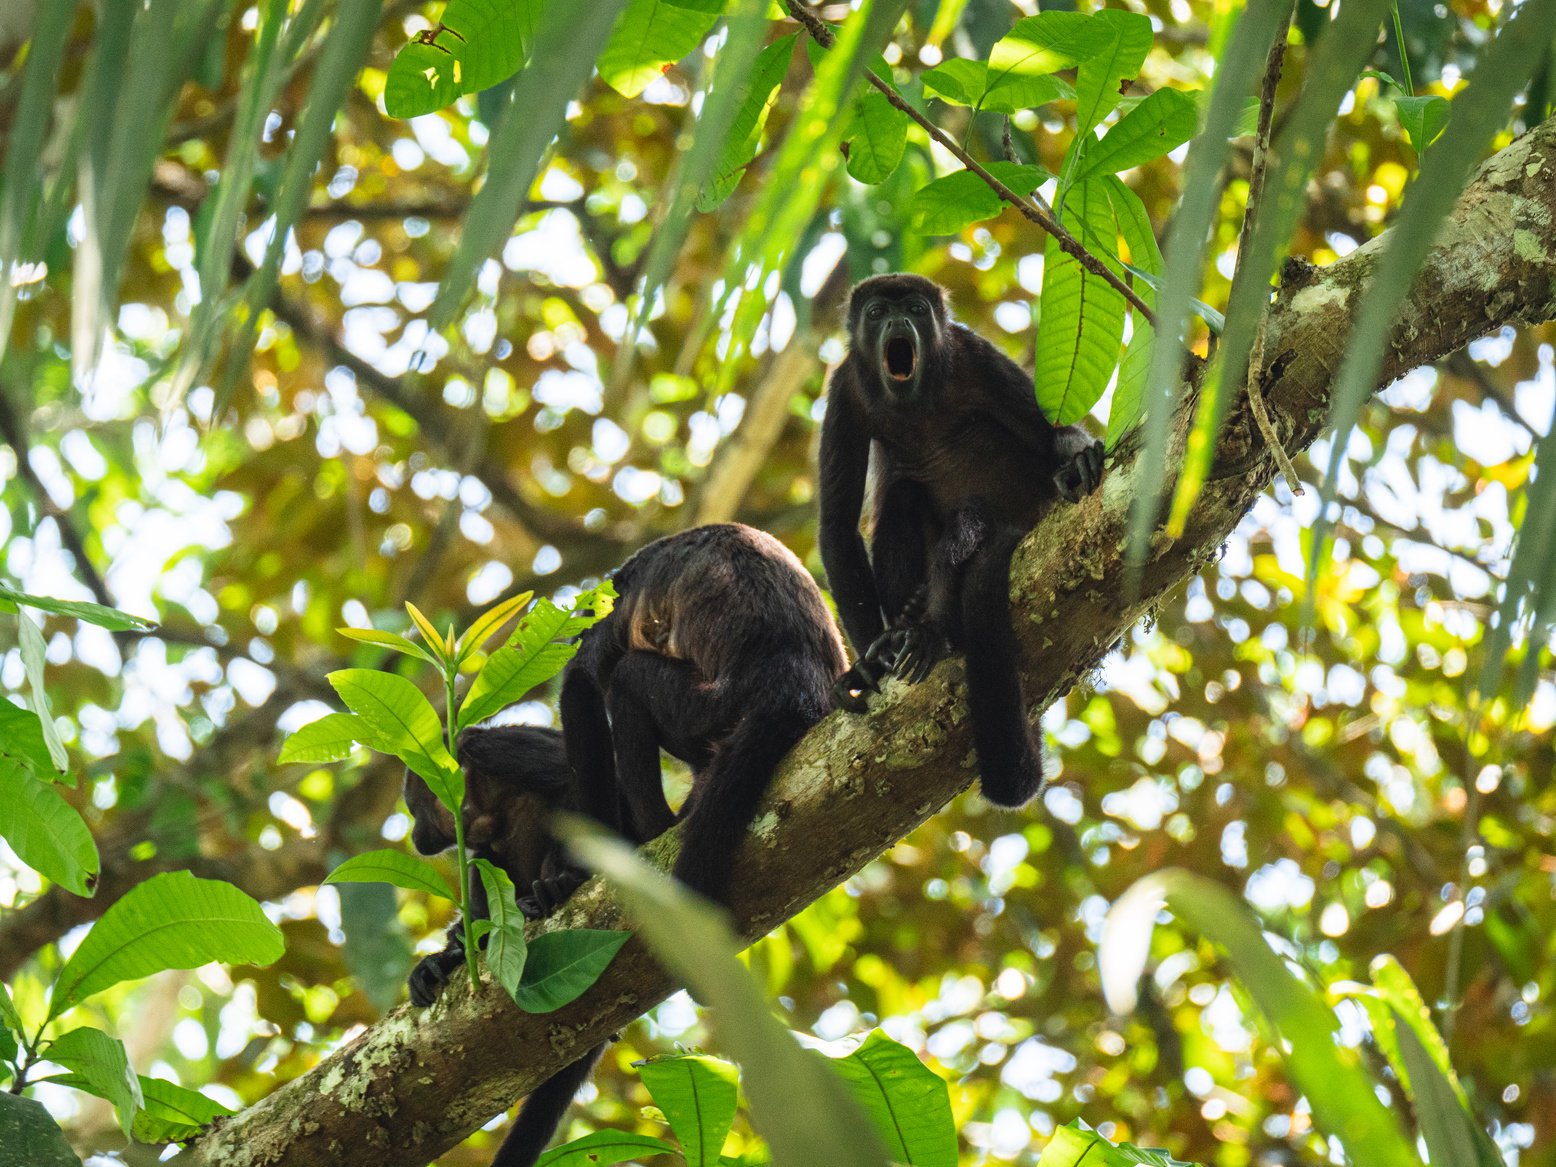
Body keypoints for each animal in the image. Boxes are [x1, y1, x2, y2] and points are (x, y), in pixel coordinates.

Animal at [401, 728, 600, 1167]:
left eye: (415, 808)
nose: (416, 837)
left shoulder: (501, 748)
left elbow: (573, 778)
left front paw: (562, 879)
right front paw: (444, 958)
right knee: (487, 857)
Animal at [560, 525, 852, 908]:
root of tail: (792, 683)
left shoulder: (612, 604)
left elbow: (581, 683)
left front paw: (583, 867)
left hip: (706, 708)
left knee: (627, 678)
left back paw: (656, 829)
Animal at [815, 272, 1107, 815]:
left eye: (914, 307)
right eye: (876, 313)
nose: (898, 321)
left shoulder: (976, 356)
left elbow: (1051, 433)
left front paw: (1076, 459)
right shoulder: (844, 390)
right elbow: (838, 528)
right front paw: (871, 662)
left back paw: (934, 629)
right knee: (905, 496)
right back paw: (909, 620)